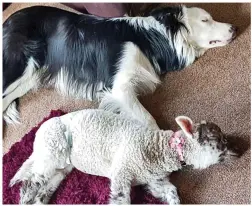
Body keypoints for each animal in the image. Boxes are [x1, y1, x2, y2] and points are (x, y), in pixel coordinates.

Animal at [2, 4, 236, 127]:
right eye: (205, 20)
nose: (234, 27)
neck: (148, 39)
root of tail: (8, 20)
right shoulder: (119, 88)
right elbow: (148, 120)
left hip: (30, 75)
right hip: (20, 65)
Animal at [9, 109, 238, 204]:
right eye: (218, 142)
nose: (238, 151)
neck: (159, 148)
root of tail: (38, 135)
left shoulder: (154, 181)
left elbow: (172, 192)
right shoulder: (122, 173)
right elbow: (122, 200)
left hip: (61, 166)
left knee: (44, 188)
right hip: (52, 149)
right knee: (29, 183)